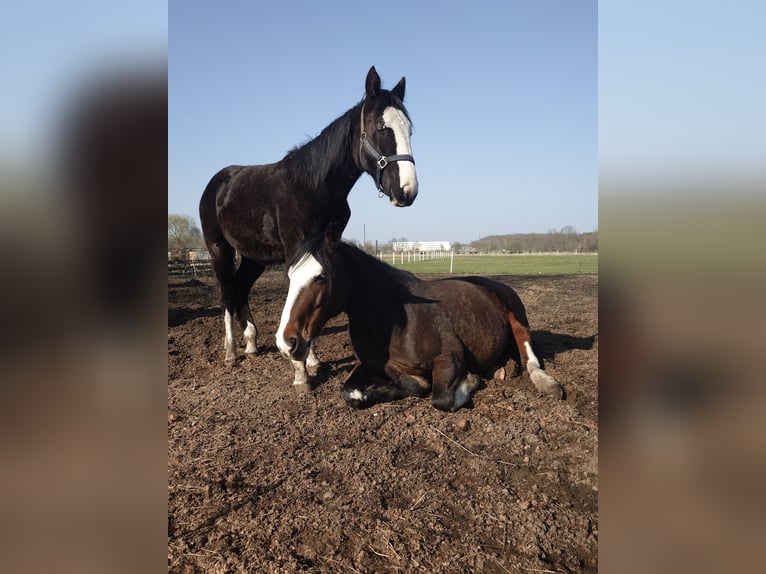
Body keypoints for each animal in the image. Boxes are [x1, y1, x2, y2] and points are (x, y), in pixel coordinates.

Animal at [199, 66, 418, 370]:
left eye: (409, 129)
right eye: (381, 127)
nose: (407, 190)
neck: (315, 186)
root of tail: (216, 183)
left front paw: (310, 359)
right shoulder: (297, 244)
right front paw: (304, 362)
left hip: (254, 256)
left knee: (241, 288)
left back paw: (252, 343)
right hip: (219, 249)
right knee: (227, 293)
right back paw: (231, 351)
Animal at [275, 229, 564, 411]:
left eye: (321, 277)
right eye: (289, 276)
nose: (286, 342)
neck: (392, 322)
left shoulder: (449, 359)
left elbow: (441, 399)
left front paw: (469, 380)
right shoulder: (367, 366)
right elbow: (352, 393)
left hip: (517, 315)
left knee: (529, 356)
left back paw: (545, 382)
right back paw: (500, 368)